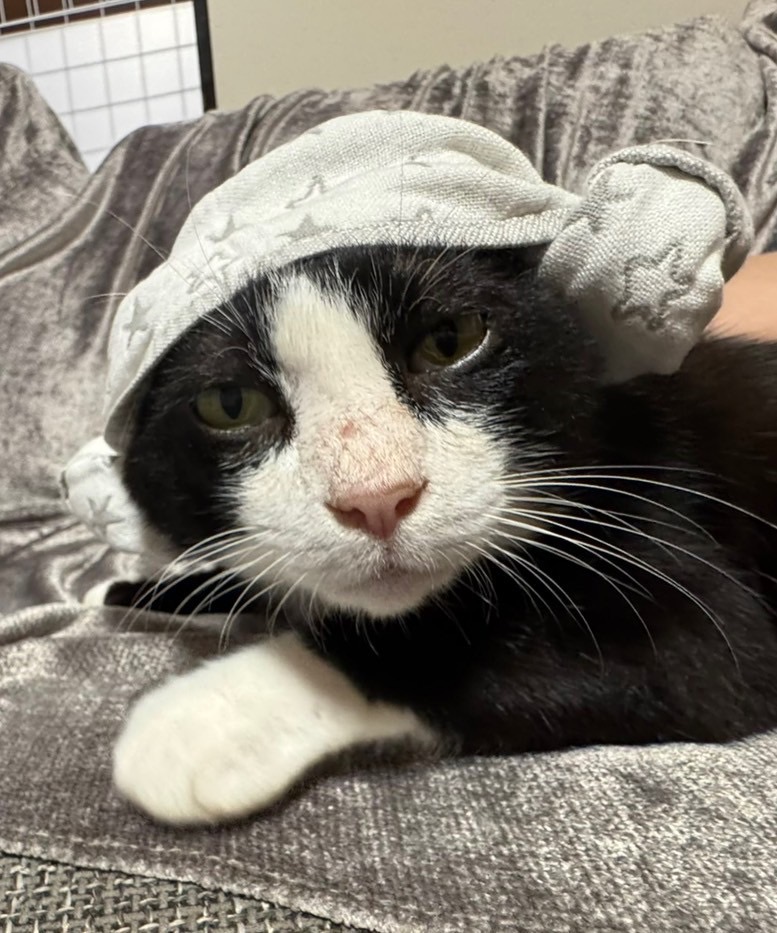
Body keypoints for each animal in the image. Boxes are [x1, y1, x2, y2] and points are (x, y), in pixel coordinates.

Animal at [107, 243, 777, 825]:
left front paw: (209, 719)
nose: (376, 497)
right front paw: (143, 592)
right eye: (229, 402)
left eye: (450, 340)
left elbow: (706, 656)